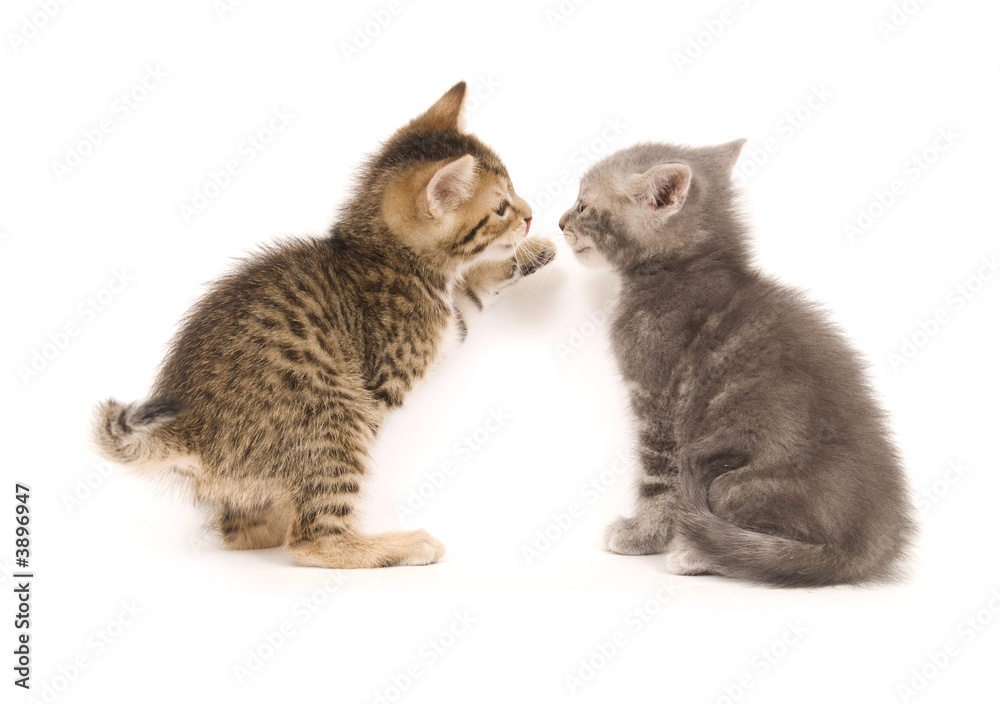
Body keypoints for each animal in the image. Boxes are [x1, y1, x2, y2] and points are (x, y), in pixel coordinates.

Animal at [92, 84, 556, 568]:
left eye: (514, 193)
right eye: (501, 207)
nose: (529, 216)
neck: (381, 252)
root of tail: (191, 431)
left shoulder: (448, 321)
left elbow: (469, 296)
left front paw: (530, 254)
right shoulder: (394, 369)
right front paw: (518, 251)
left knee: (242, 532)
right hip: (335, 418)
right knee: (311, 539)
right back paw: (397, 545)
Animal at [560, 140, 916, 584]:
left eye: (582, 205)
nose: (559, 222)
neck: (683, 268)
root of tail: (868, 545)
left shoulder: (658, 402)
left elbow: (659, 481)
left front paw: (642, 536)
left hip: (730, 484)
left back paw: (696, 555)